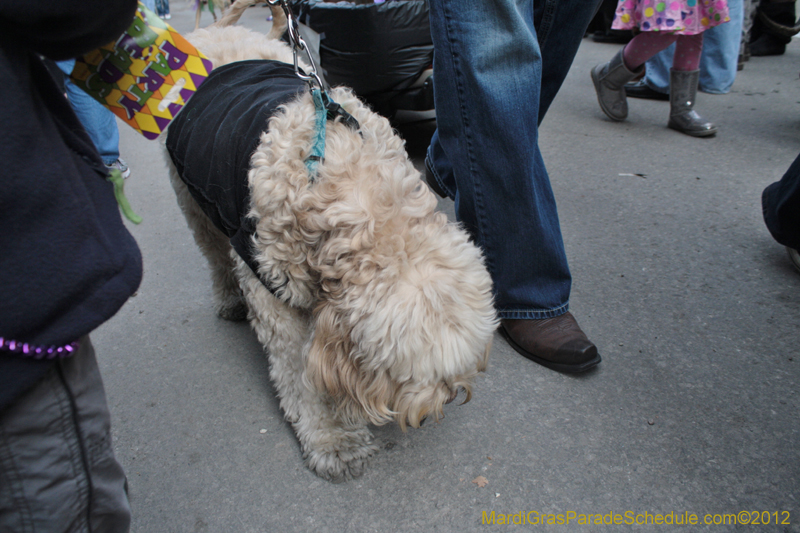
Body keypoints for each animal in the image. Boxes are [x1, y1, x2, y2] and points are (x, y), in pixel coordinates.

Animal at [165, 1, 496, 482]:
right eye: (412, 375)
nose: (453, 394)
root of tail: (215, 33)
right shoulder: (274, 293)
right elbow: (302, 375)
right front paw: (333, 439)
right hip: (193, 200)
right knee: (214, 255)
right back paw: (228, 298)